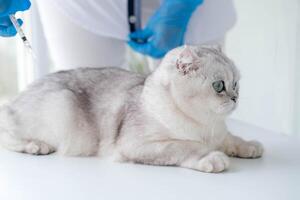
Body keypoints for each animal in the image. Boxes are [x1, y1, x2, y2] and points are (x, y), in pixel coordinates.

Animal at [0, 45, 262, 172]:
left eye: (236, 84)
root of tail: (14, 100)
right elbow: (185, 146)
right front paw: (211, 158)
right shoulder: (137, 144)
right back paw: (35, 146)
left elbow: (231, 138)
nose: (235, 98)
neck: (205, 126)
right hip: (62, 104)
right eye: (219, 86)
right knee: (7, 136)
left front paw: (250, 147)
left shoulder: (220, 133)